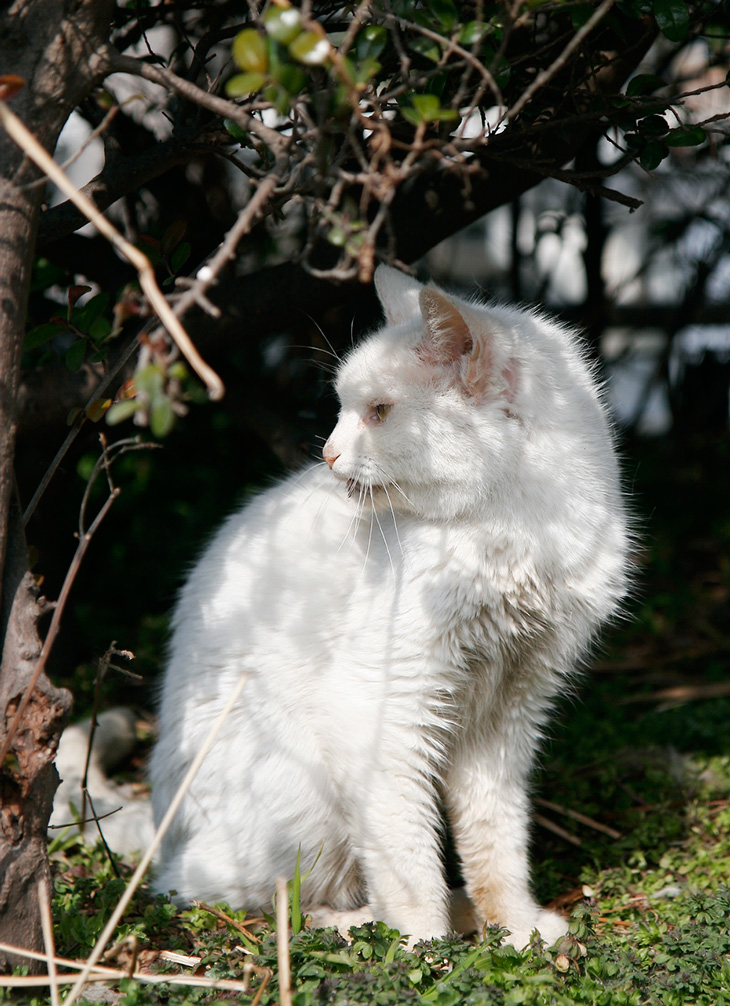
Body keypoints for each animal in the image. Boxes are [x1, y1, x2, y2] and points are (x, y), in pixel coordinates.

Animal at [146, 263, 627, 945]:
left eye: (378, 411)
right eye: (346, 409)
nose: (327, 453)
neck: (510, 530)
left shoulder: (510, 709)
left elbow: (496, 840)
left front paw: (515, 929)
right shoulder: (379, 706)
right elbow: (407, 858)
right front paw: (425, 948)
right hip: (304, 799)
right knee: (214, 889)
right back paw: (357, 925)